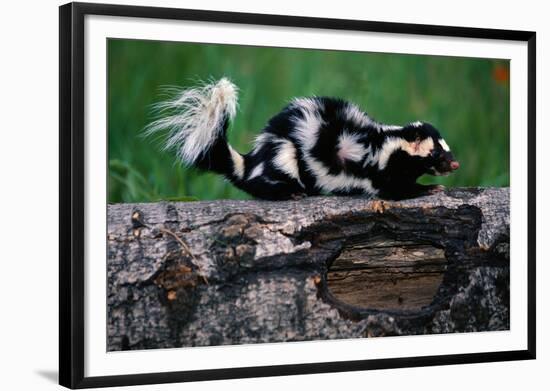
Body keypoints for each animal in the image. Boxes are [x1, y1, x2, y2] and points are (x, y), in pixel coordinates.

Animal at [147, 77, 462, 201]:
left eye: (447, 149)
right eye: (436, 153)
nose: (455, 164)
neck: (389, 142)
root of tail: (250, 161)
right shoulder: (381, 169)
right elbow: (394, 189)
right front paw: (429, 189)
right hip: (285, 152)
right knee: (267, 181)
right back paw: (291, 192)